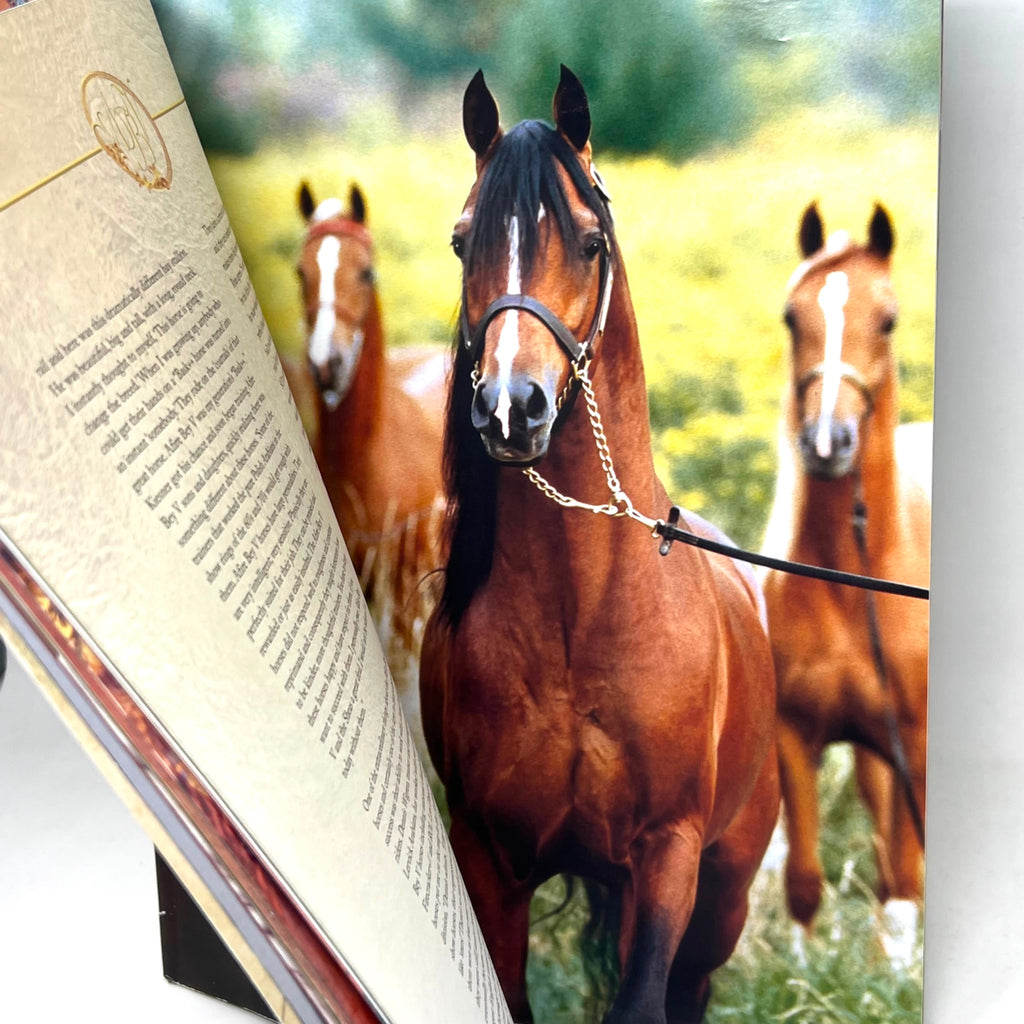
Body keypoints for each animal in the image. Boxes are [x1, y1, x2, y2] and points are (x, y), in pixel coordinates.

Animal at [419, 67, 780, 1024]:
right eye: (463, 241)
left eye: (587, 243)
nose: (513, 408)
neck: (582, 622)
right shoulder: (492, 859)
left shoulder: (667, 859)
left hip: (723, 897)